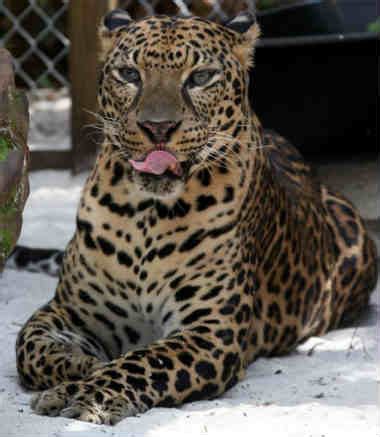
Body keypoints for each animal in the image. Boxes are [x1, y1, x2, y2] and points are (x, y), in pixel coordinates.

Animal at [14, 10, 378, 424]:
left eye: (201, 77)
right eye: (129, 74)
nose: (157, 128)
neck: (145, 216)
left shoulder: (210, 333)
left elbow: (143, 362)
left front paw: (88, 394)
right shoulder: (69, 310)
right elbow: (28, 346)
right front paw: (83, 364)